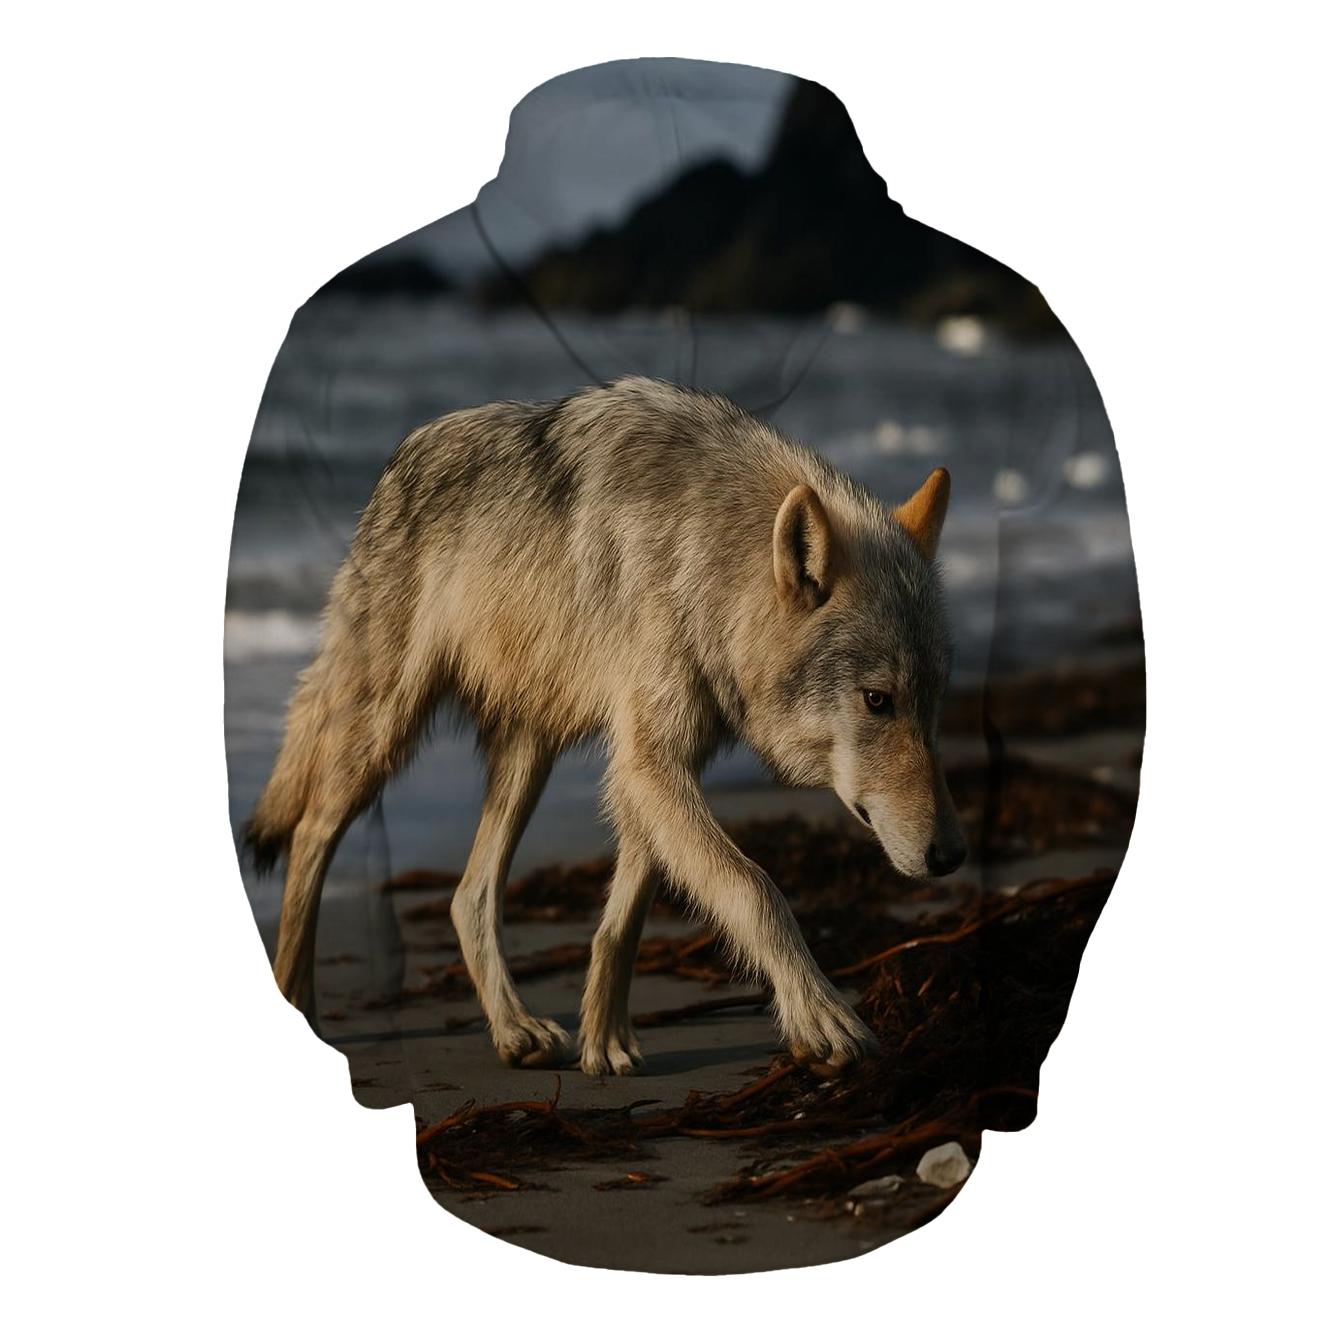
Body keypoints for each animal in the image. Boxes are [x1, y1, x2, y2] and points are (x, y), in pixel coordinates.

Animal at [246, 376, 965, 1076]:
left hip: (527, 756)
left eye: (934, 704)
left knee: (467, 896)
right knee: (311, 832)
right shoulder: (648, 763)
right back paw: (299, 998)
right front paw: (819, 1016)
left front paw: (605, 1037)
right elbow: (754, 888)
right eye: (878, 701)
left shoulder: (651, 768)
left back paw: (515, 1030)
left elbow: (624, 915)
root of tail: (395, 464)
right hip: (386, 729)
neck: (703, 559)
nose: (953, 856)